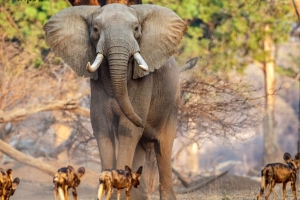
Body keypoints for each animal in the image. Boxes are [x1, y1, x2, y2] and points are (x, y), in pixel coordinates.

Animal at [44, 3, 195, 200]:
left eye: (137, 29)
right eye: (95, 29)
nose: (143, 121)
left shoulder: (144, 83)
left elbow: (128, 129)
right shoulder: (97, 86)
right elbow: (103, 128)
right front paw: (106, 191)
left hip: (173, 103)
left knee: (163, 147)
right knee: (141, 145)